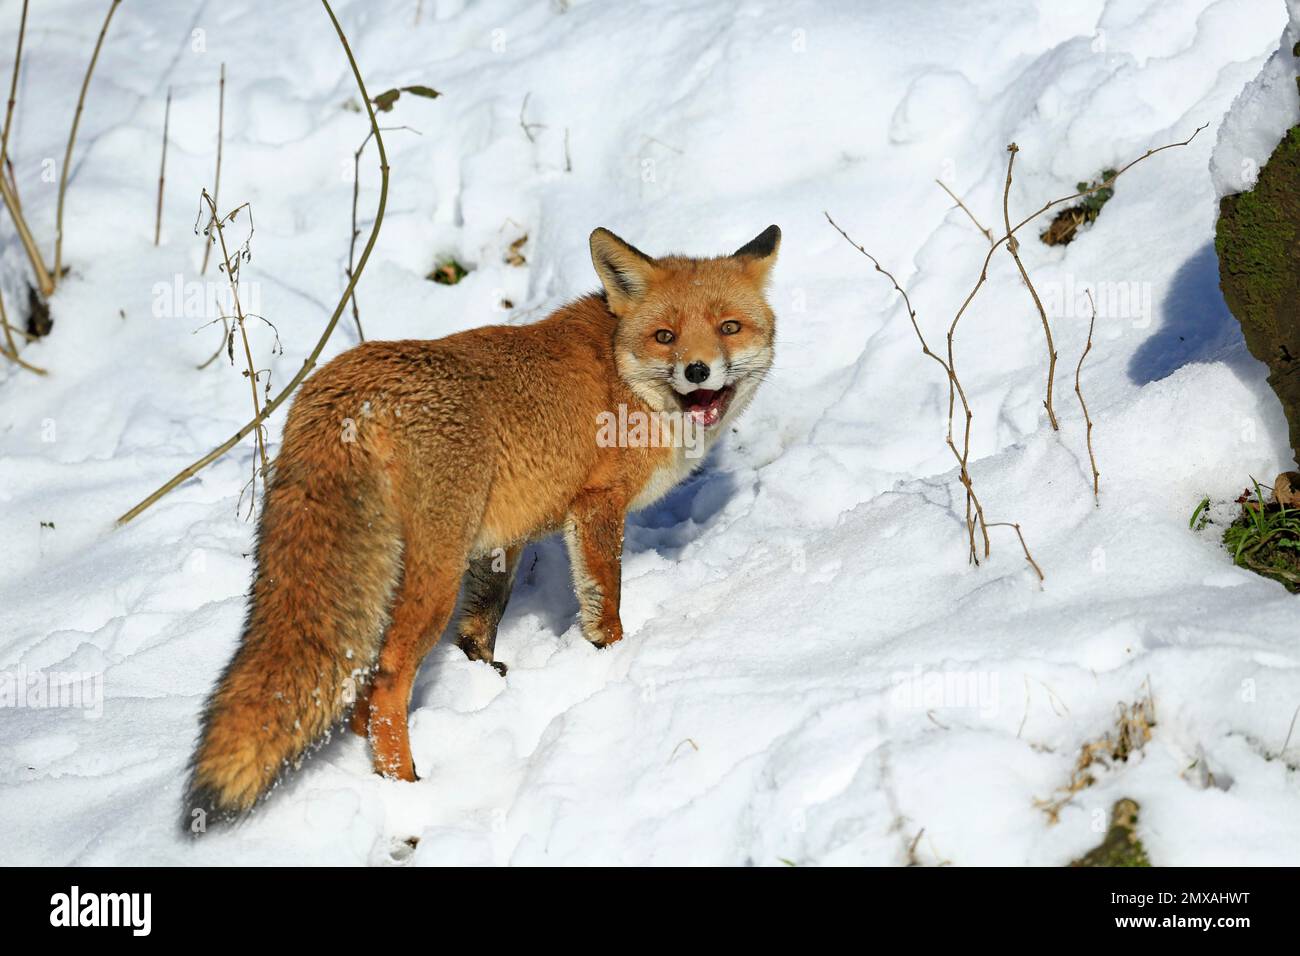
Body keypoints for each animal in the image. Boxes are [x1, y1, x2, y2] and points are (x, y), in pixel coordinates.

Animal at [184, 224, 780, 825]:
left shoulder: (502, 537)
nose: (698, 370)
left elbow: (483, 621)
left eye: (729, 327)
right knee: (385, 677)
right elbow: (604, 603)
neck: (623, 376)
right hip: (432, 576)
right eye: (665, 336)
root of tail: (350, 395)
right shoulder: (596, 505)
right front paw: (608, 656)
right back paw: (404, 783)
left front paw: (484, 675)